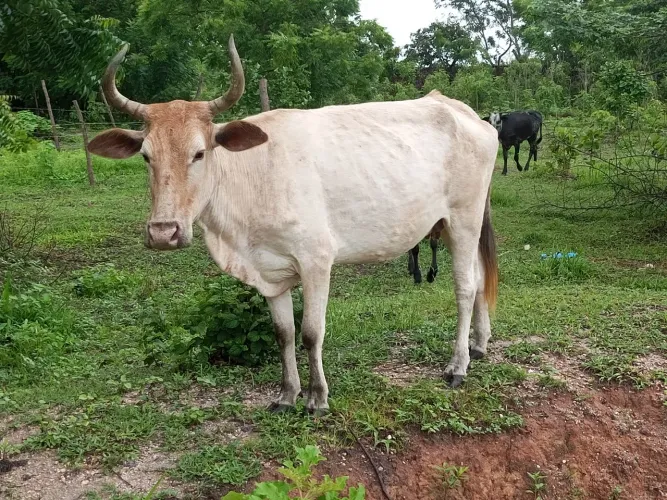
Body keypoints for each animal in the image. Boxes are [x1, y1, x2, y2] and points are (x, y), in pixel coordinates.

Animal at [87, 35, 499, 416]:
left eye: (199, 153)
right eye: (146, 156)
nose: (163, 231)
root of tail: (462, 110)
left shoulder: (316, 260)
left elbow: (311, 333)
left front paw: (317, 397)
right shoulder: (269, 272)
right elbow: (283, 334)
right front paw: (287, 394)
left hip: (463, 218)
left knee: (464, 286)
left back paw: (457, 366)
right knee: (480, 277)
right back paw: (479, 344)